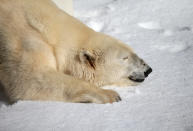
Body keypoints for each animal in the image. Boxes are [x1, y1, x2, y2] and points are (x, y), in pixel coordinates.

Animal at [0, 0, 152, 104]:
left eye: (132, 51)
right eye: (124, 58)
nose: (148, 70)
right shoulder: (21, 37)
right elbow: (29, 78)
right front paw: (111, 95)